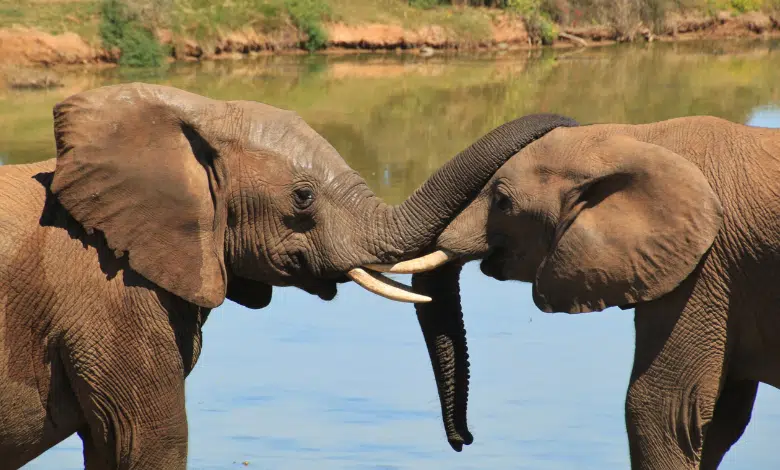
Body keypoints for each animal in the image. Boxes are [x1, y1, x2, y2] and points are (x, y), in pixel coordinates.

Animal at [372, 115, 780, 468]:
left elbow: (660, 409)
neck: (639, 139)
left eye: (503, 201)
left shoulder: (705, 269)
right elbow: (719, 420)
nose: (465, 441)